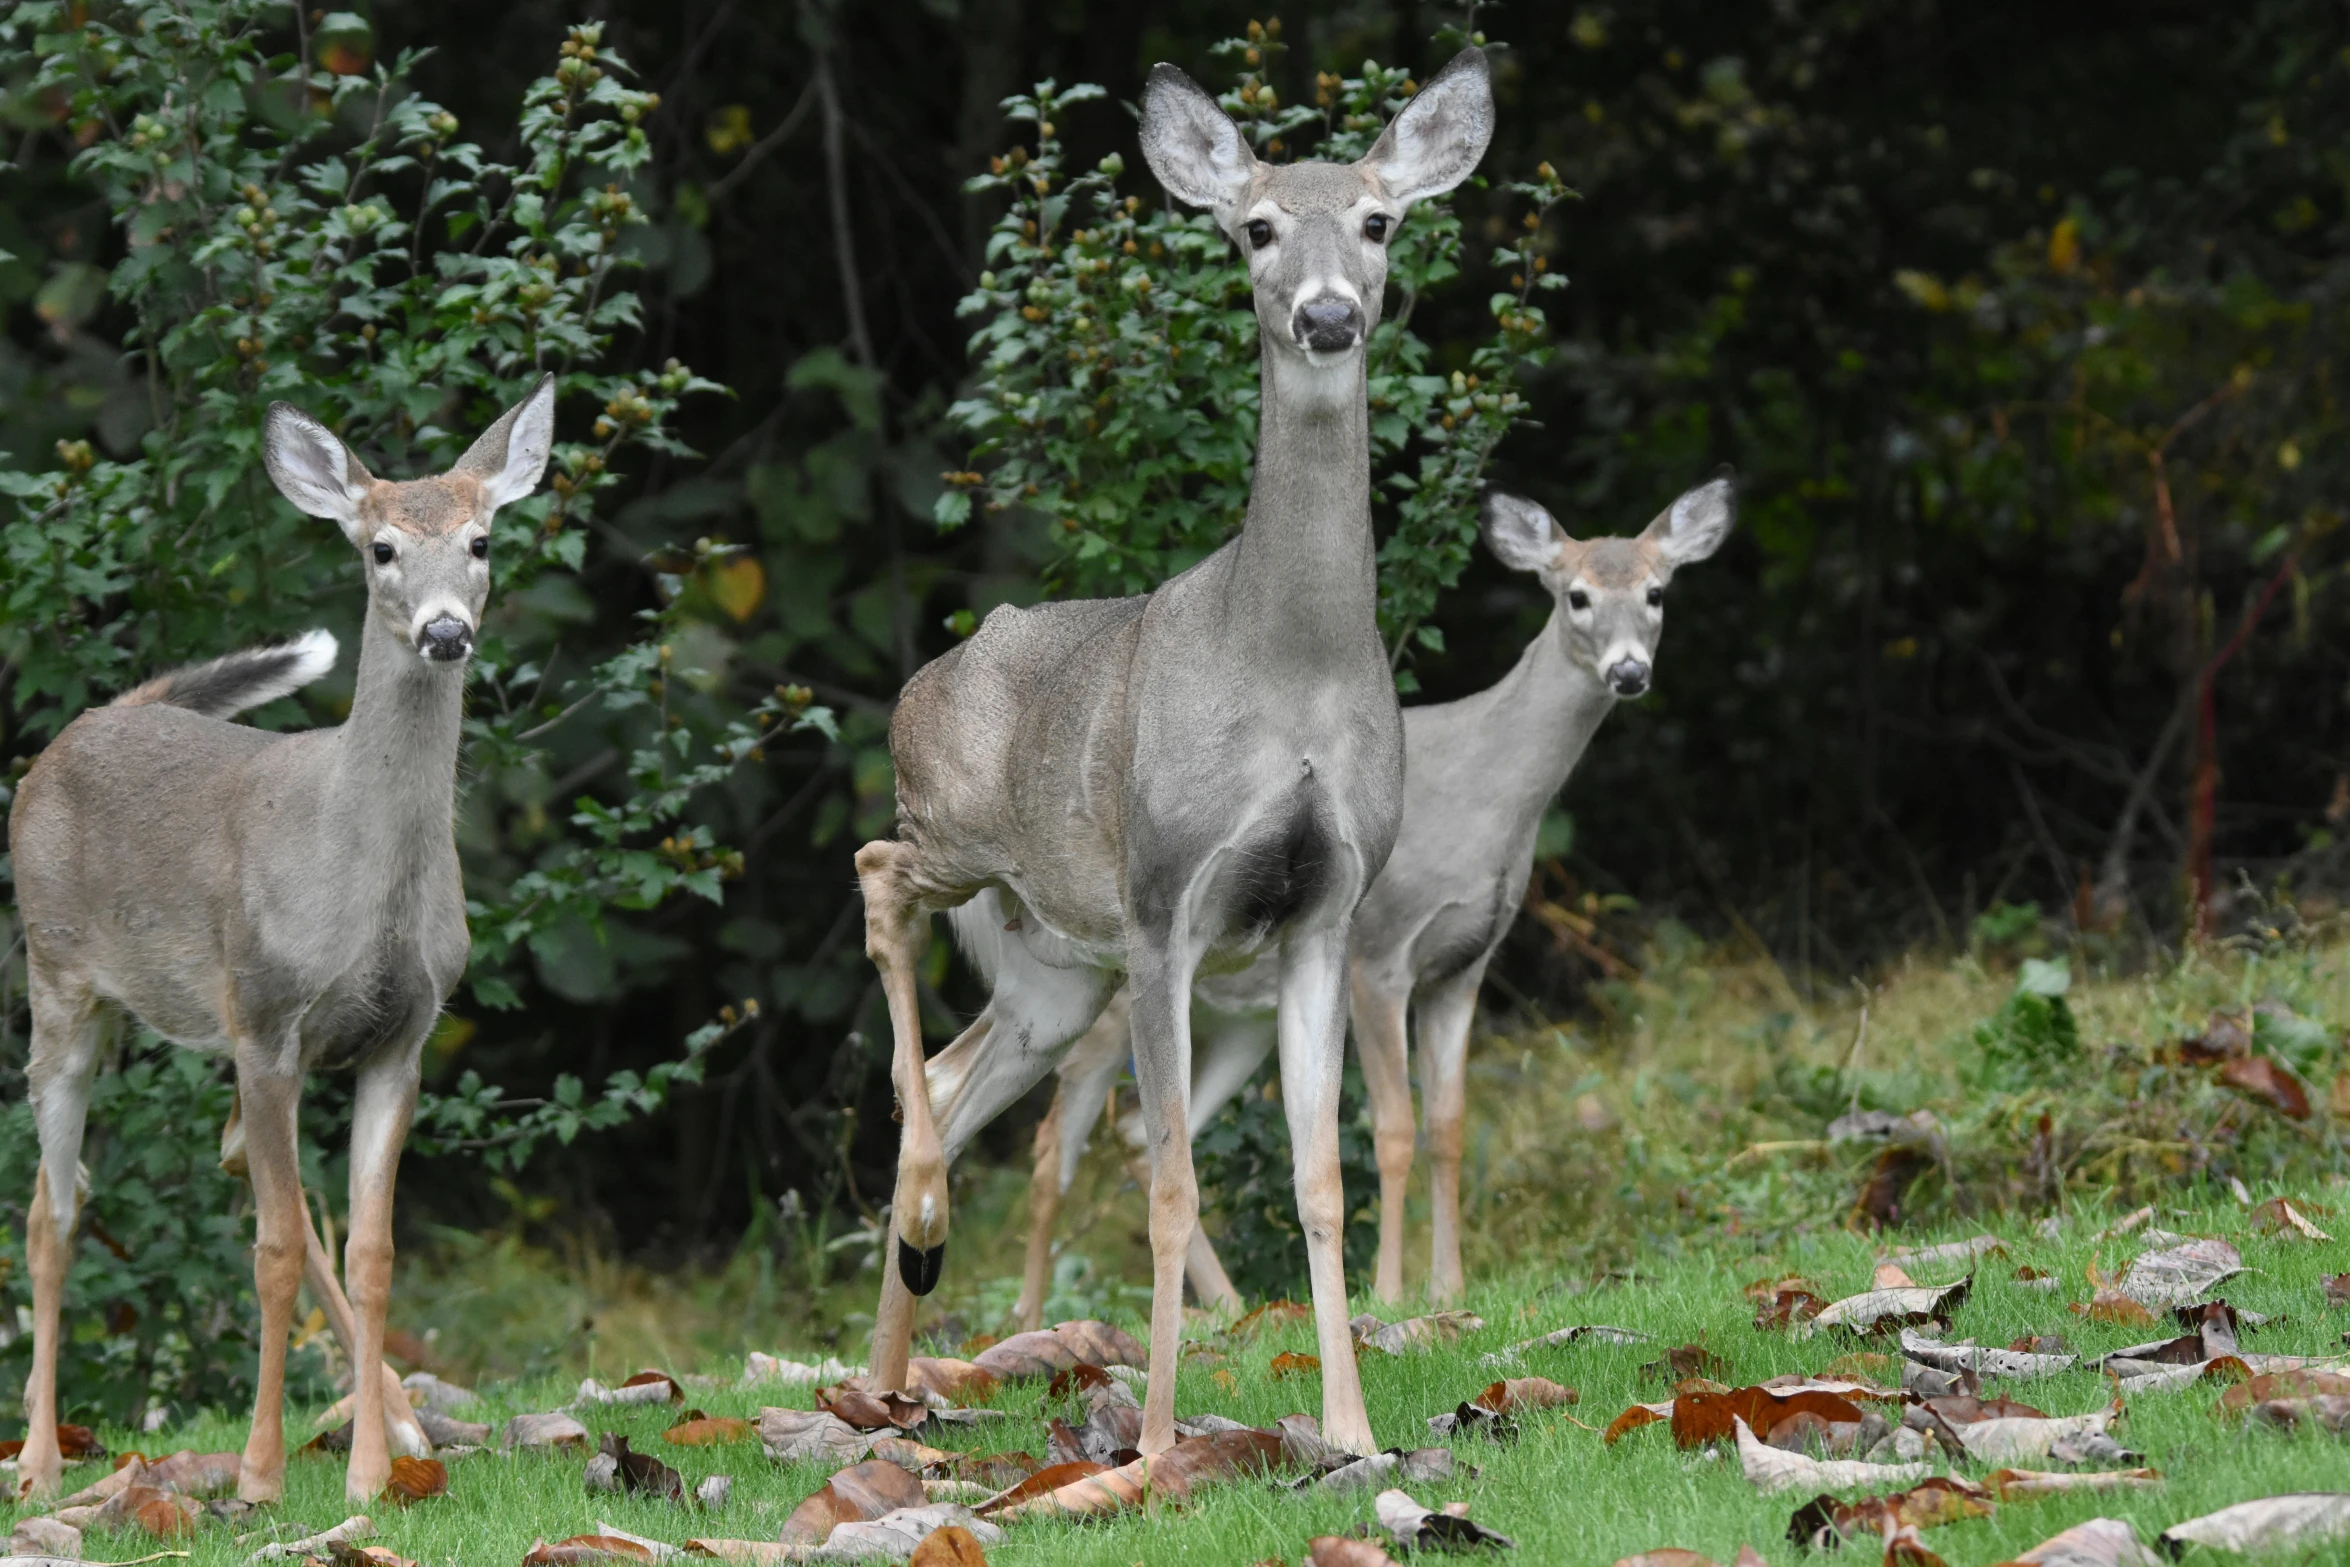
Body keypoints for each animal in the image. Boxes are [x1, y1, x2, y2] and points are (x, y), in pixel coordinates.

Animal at [14, 373, 554, 1503]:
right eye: (380, 547)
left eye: (481, 540)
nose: (446, 631)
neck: (360, 879)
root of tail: (87, 723)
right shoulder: (266, 1018)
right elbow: (265, 1248)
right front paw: (260, 1474)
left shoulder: (401, 1035)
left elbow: (371, 1249)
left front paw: (370, 1474)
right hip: (58, 975)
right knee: (53, 1210)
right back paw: (38, 1459)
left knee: (224, 1169)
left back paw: (404, 1422)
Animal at [855, 49, 1494, 1456]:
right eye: (1253, 228)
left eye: (1378, 221)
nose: (1325, 314)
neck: (1291, 669)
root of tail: (932, 675)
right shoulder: (1164, 905)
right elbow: (1168, 1178)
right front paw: (1152, 1440)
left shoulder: (1323, 911)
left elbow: (1320, 1177)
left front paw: (1351, 1428)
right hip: (962, 836)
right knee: (877, 878)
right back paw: (920, 1239)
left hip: (1052, 966)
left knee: (960, 1071)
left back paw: (888, 1379)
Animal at [1015, 481, 1748, 1325]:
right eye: (1577, 595)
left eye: (1657, 592)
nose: (1629, 671)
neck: (1489, 801)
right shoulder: (1377, 955)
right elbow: (1392, 1128)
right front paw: (1395, 1291)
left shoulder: (1465, 963)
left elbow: (1449, 1125)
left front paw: (1450, 1286)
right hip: (1113, 987)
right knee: (1053, 1141)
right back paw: (1028, 1320)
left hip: (1237, 1019)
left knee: (1143, 1132)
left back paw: (1232, 1307)